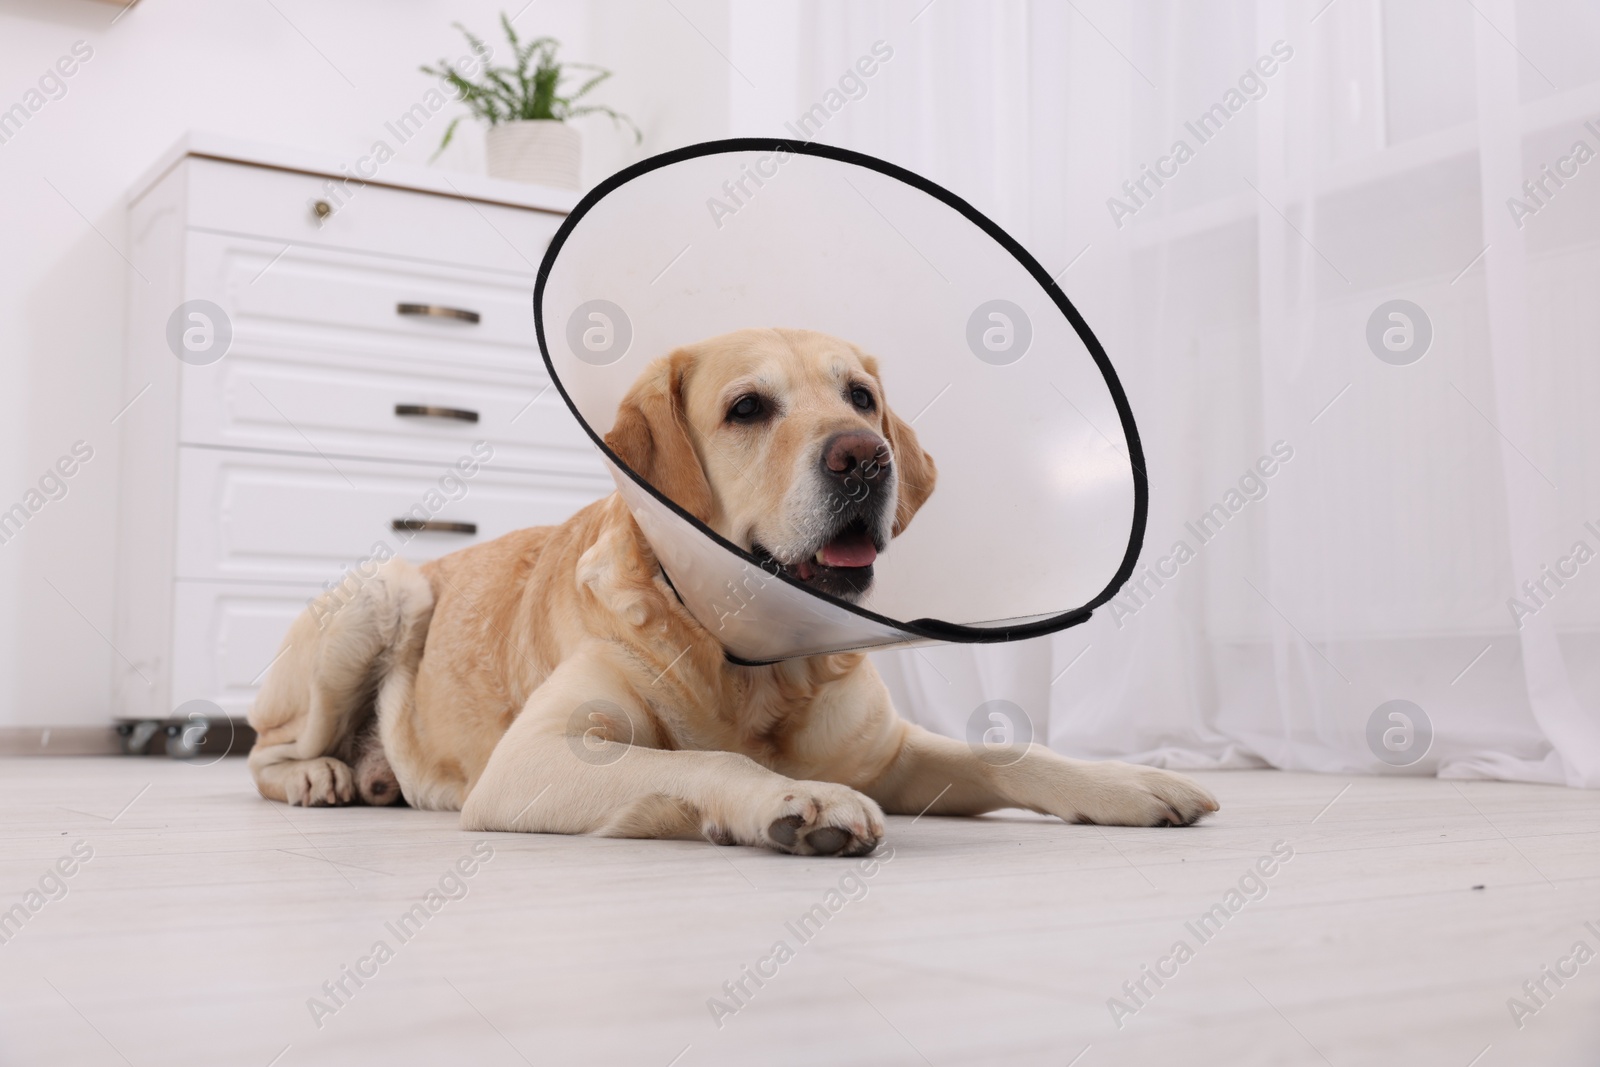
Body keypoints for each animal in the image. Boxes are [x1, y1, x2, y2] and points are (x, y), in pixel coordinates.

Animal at [246, 327, 1209, 857]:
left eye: (861, 394)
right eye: (748, 407)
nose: (867, 456)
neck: (755, 659)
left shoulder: (891, 751)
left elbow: (1007, 754)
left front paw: (1132, 780)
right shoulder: (533, 758)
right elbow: (711, 759)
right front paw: (796, 801)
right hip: (387, 588)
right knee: (267, 751)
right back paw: (323, 774)